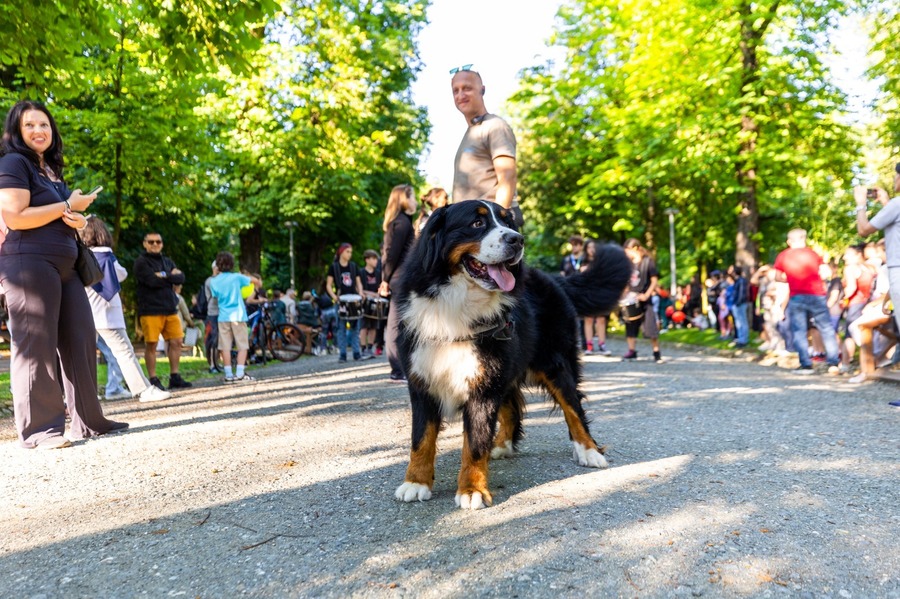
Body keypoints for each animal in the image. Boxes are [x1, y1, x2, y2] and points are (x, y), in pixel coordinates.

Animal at [394, 199, 632, 508]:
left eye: (509, 222)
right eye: (477, 223)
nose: (517, 240)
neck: (457, 307)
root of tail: (554, 279)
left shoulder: (483, 386)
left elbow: (474, 444)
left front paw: (471, 489)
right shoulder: (423, 379)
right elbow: (420, 439)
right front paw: (416, 482)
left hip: (554, 363)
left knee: (573, 407)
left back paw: (589, 450)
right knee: (512, 408)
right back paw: (501, 445)